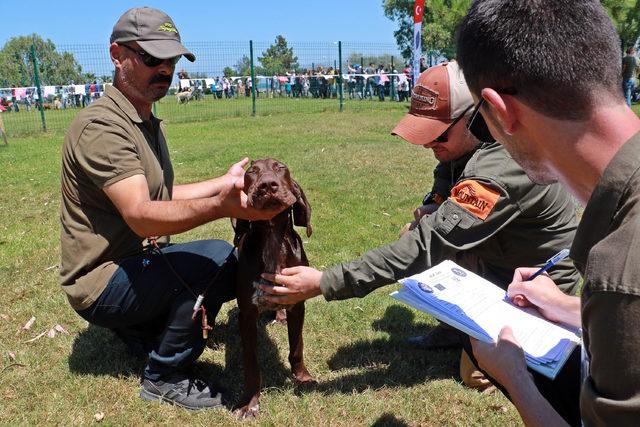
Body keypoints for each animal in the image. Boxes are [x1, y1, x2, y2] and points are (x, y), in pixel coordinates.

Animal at [235, 159, 316, 420]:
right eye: (251, 171)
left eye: (280, 167)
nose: (267, 185)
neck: (272, 238)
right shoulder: (247, 314)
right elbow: (252, 364)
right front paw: (249, 402)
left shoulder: (298, 305)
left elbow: (296, 348)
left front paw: (303, 378)